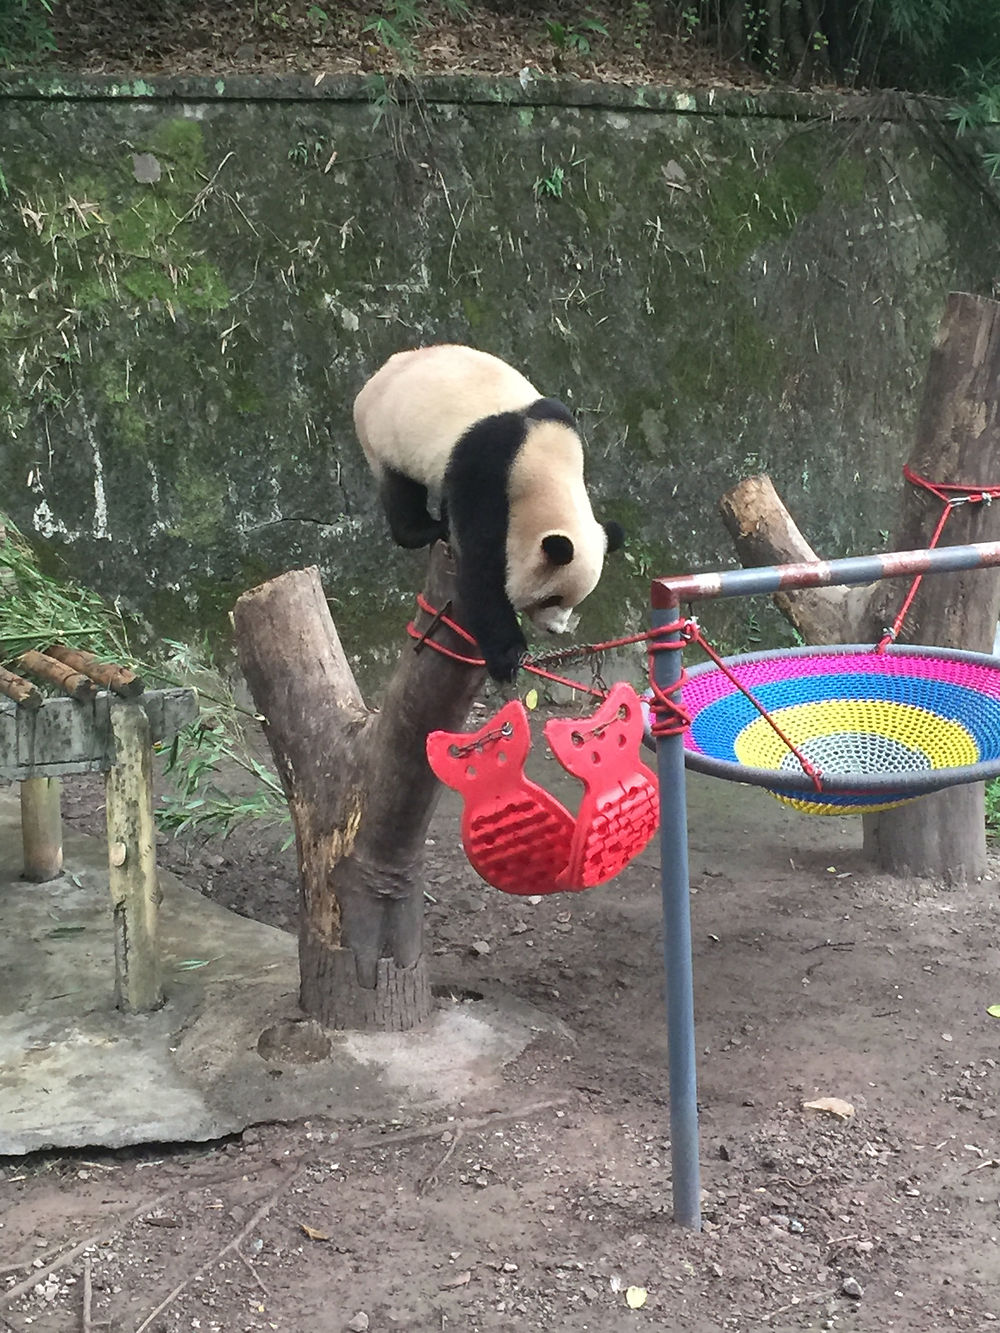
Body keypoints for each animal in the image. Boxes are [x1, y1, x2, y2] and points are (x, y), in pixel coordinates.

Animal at [354, 343, 626, 682]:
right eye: (553, 598)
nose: (555, 629)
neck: (544, 461)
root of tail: (382, 371)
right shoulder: (486, 469)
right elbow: (479, 566)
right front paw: (508, 657)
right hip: (387, 434)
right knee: (401, 490)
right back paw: (425, 529)